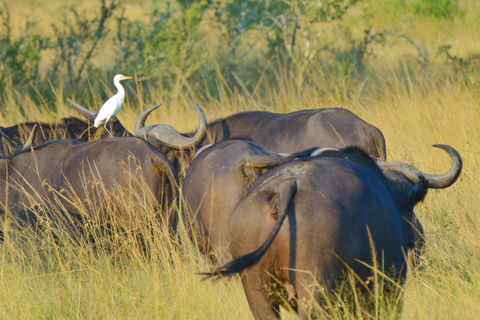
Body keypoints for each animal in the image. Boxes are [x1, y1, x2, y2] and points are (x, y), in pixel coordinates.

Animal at [208, 146, 464, 320]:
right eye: (411, 203)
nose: (417, 237)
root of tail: (285, 186)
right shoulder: (390, 287)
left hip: (258, 292)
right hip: (316, 292)